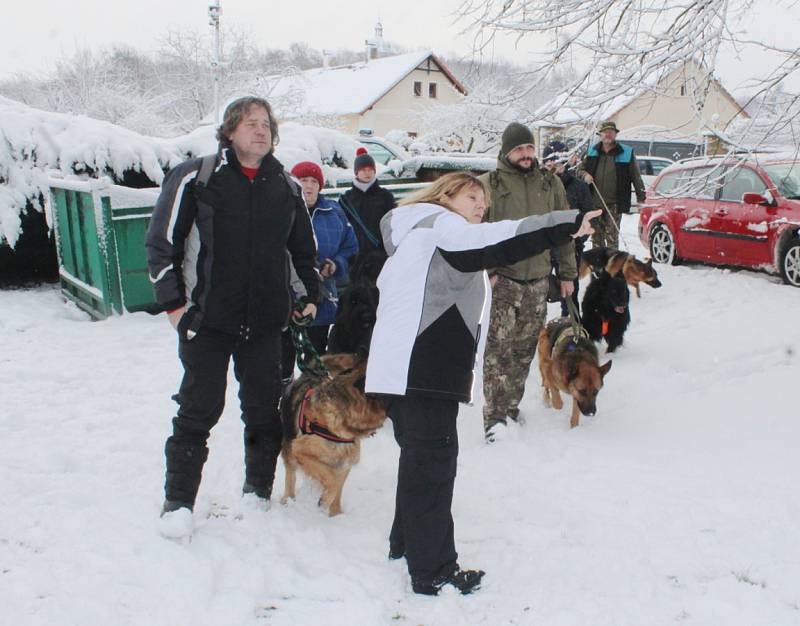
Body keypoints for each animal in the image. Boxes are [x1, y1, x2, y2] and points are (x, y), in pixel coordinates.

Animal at [280, 354, 386, 516]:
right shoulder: (301, 449)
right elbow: (332, 482)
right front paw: (324, 501)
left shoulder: (344, 462)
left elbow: (337, 488)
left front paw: (335, 515)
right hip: (289, 446)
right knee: (290, 475)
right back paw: (288, 500)